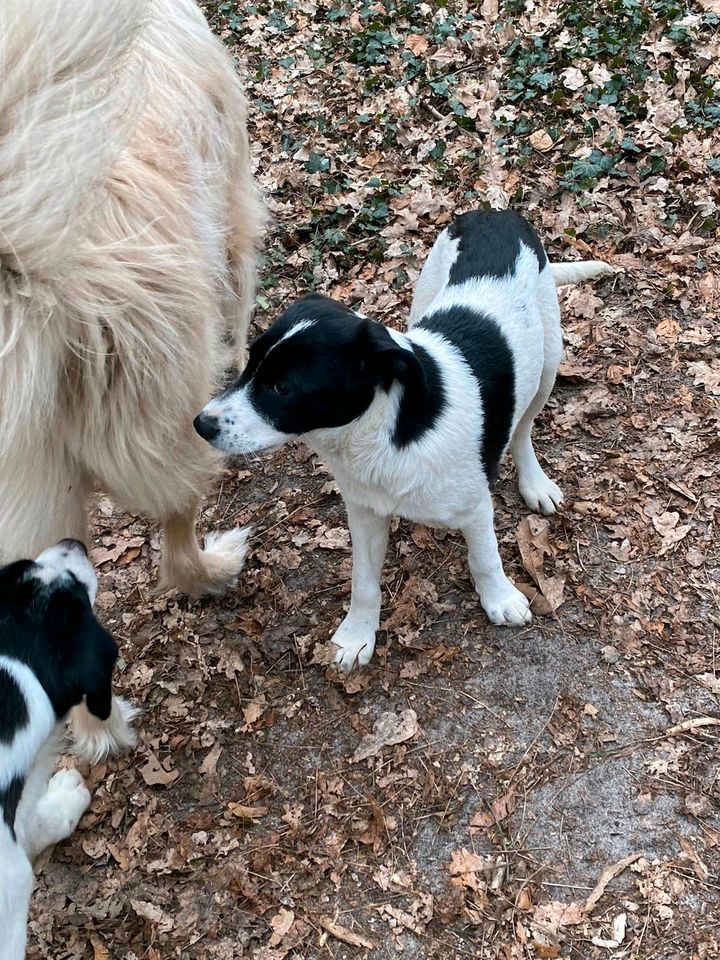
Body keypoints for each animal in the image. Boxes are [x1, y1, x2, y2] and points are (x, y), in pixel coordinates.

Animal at [194, 212, 612, 668]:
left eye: (282, 388)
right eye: (249, 363)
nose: (200, 424)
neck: (382, 436)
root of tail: (494, 213)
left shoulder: (475, 508)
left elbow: (484, 558)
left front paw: (500, 599)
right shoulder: (364, 512)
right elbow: (363, 582)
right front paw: (357, 635)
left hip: (549, 361)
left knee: (522, 430)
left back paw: (534, 482)